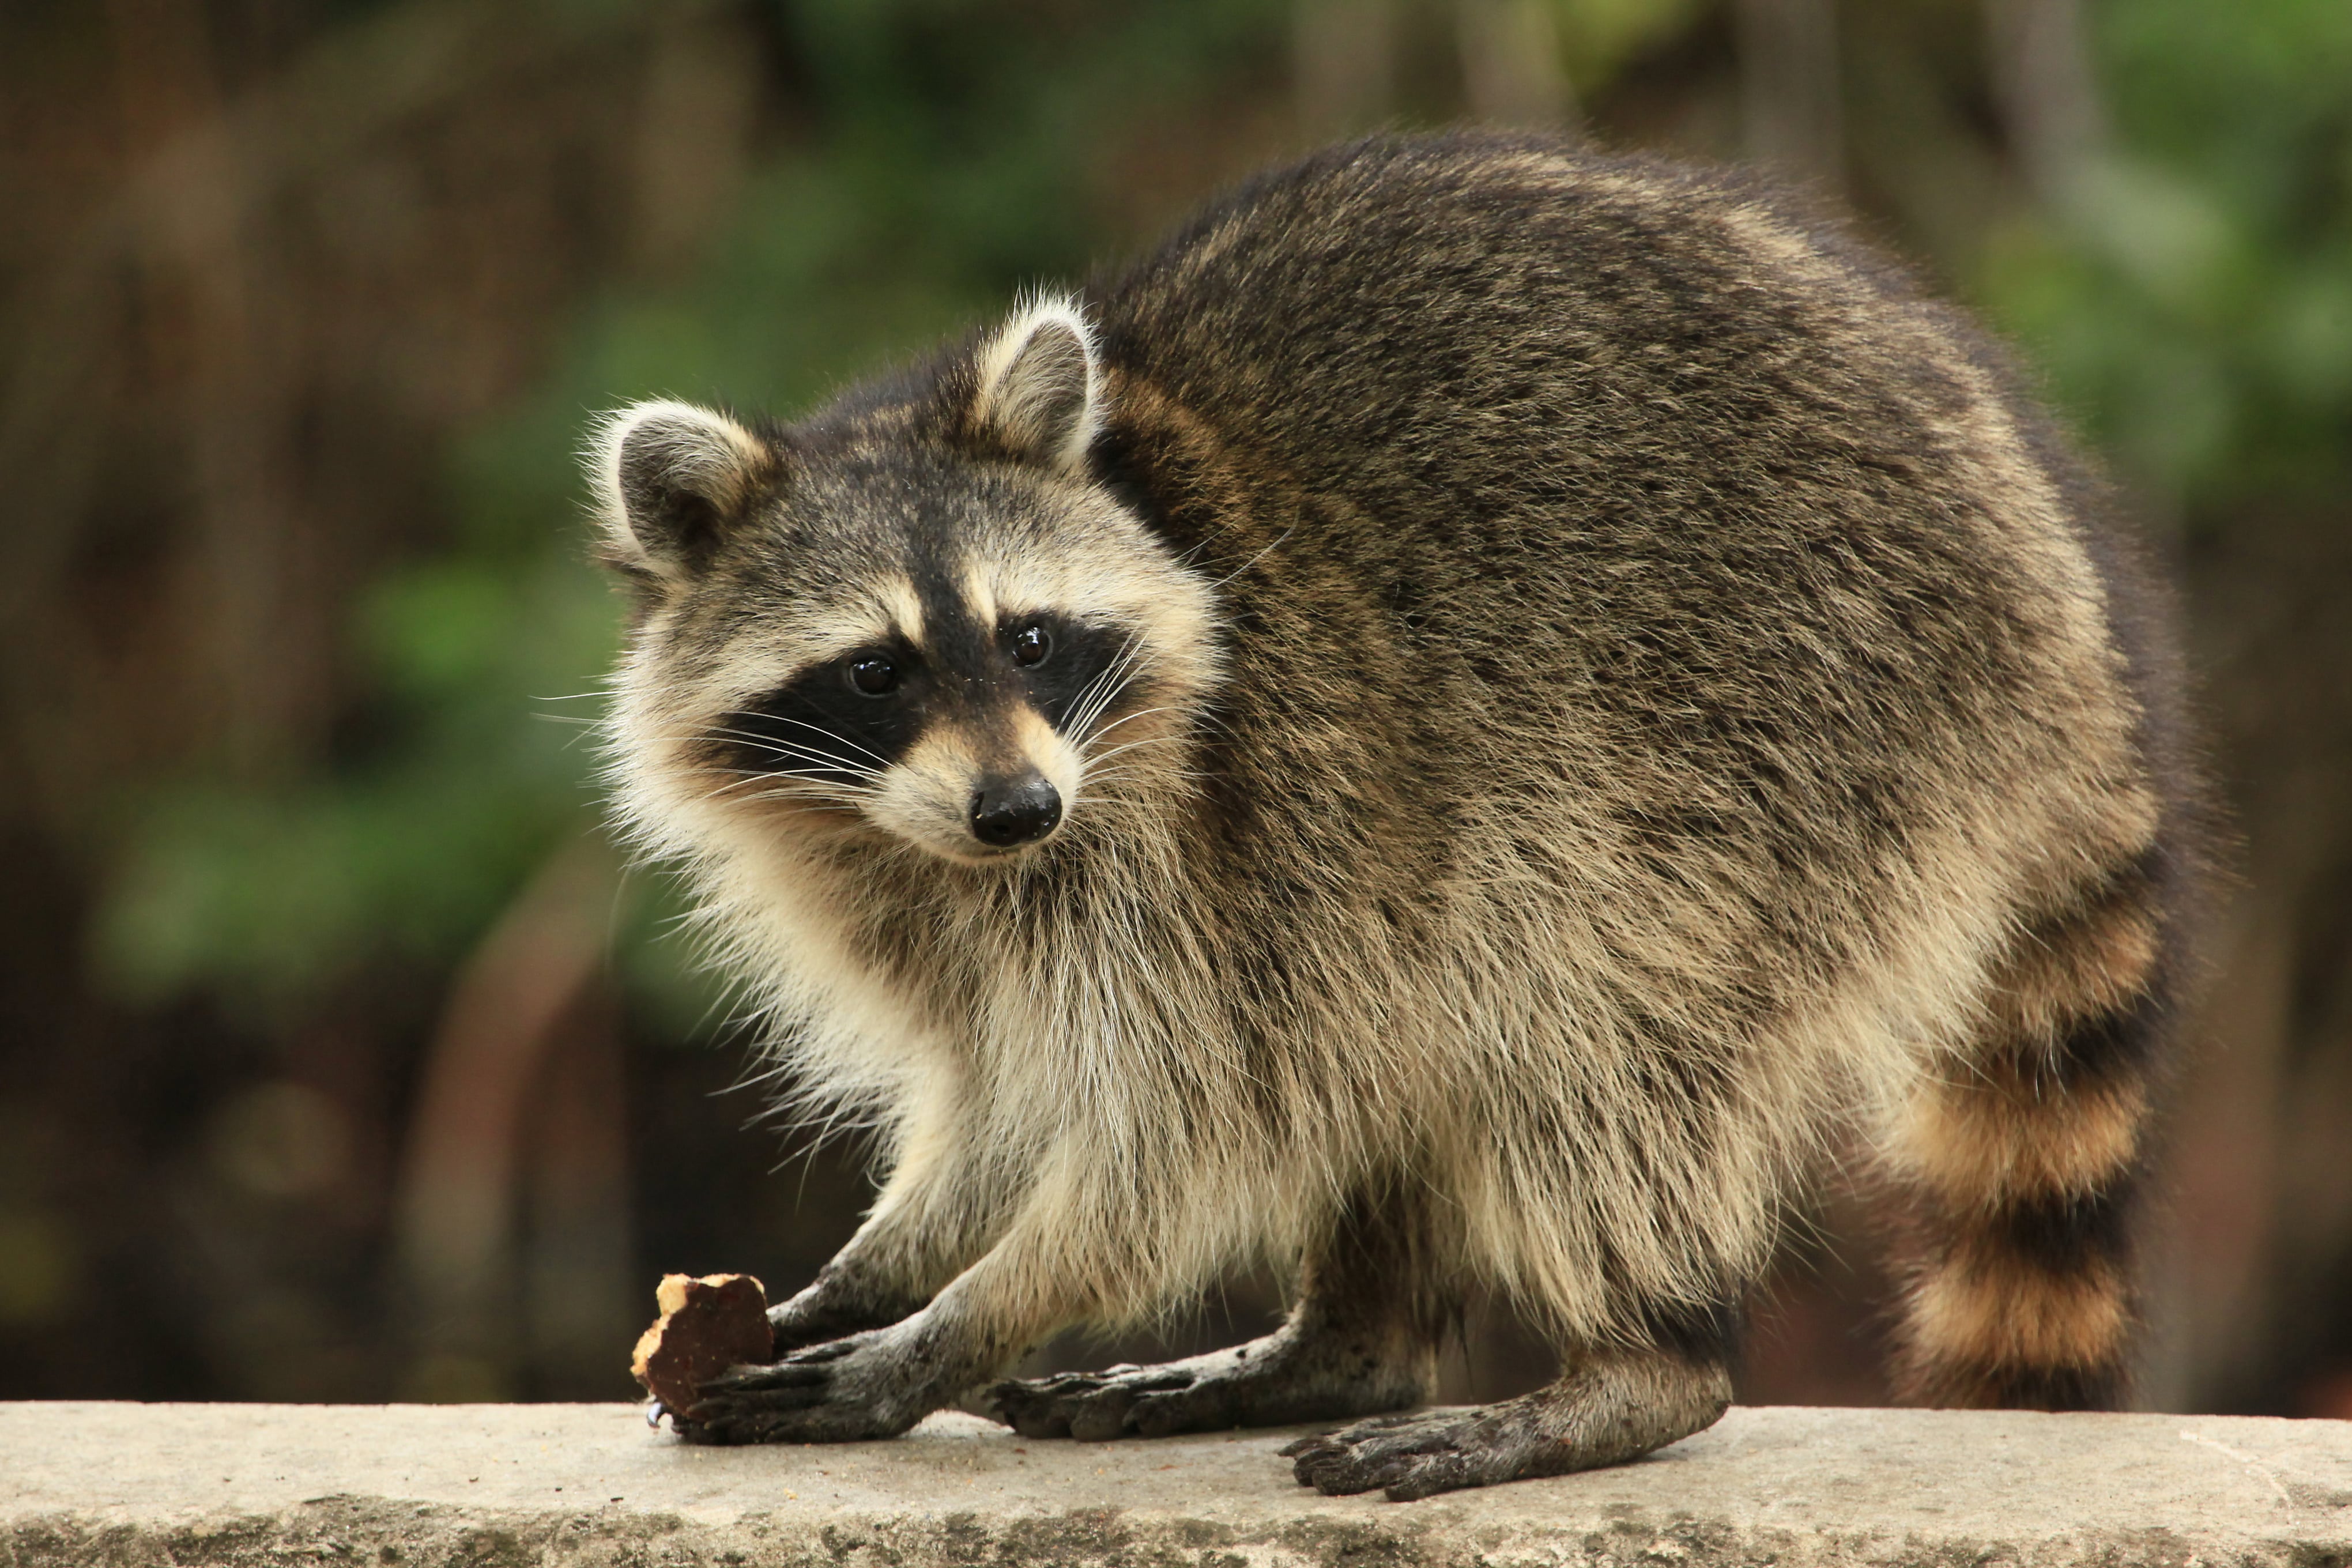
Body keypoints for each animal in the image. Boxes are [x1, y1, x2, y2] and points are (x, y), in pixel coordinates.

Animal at [593, 131, 2201, 1495]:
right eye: (876, 670)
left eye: (1030, 637)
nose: (1017, 807)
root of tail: (2061, 585)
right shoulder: (927, 884)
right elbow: (1007, 1093)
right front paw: (882, 1263)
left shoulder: (1215, 822)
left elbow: (1172, 1133)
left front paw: (951, 1327)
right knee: (1407, 1032)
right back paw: (1344, 1345)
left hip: (1795, 725)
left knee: (1587, 1013)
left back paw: (1637, 1362)